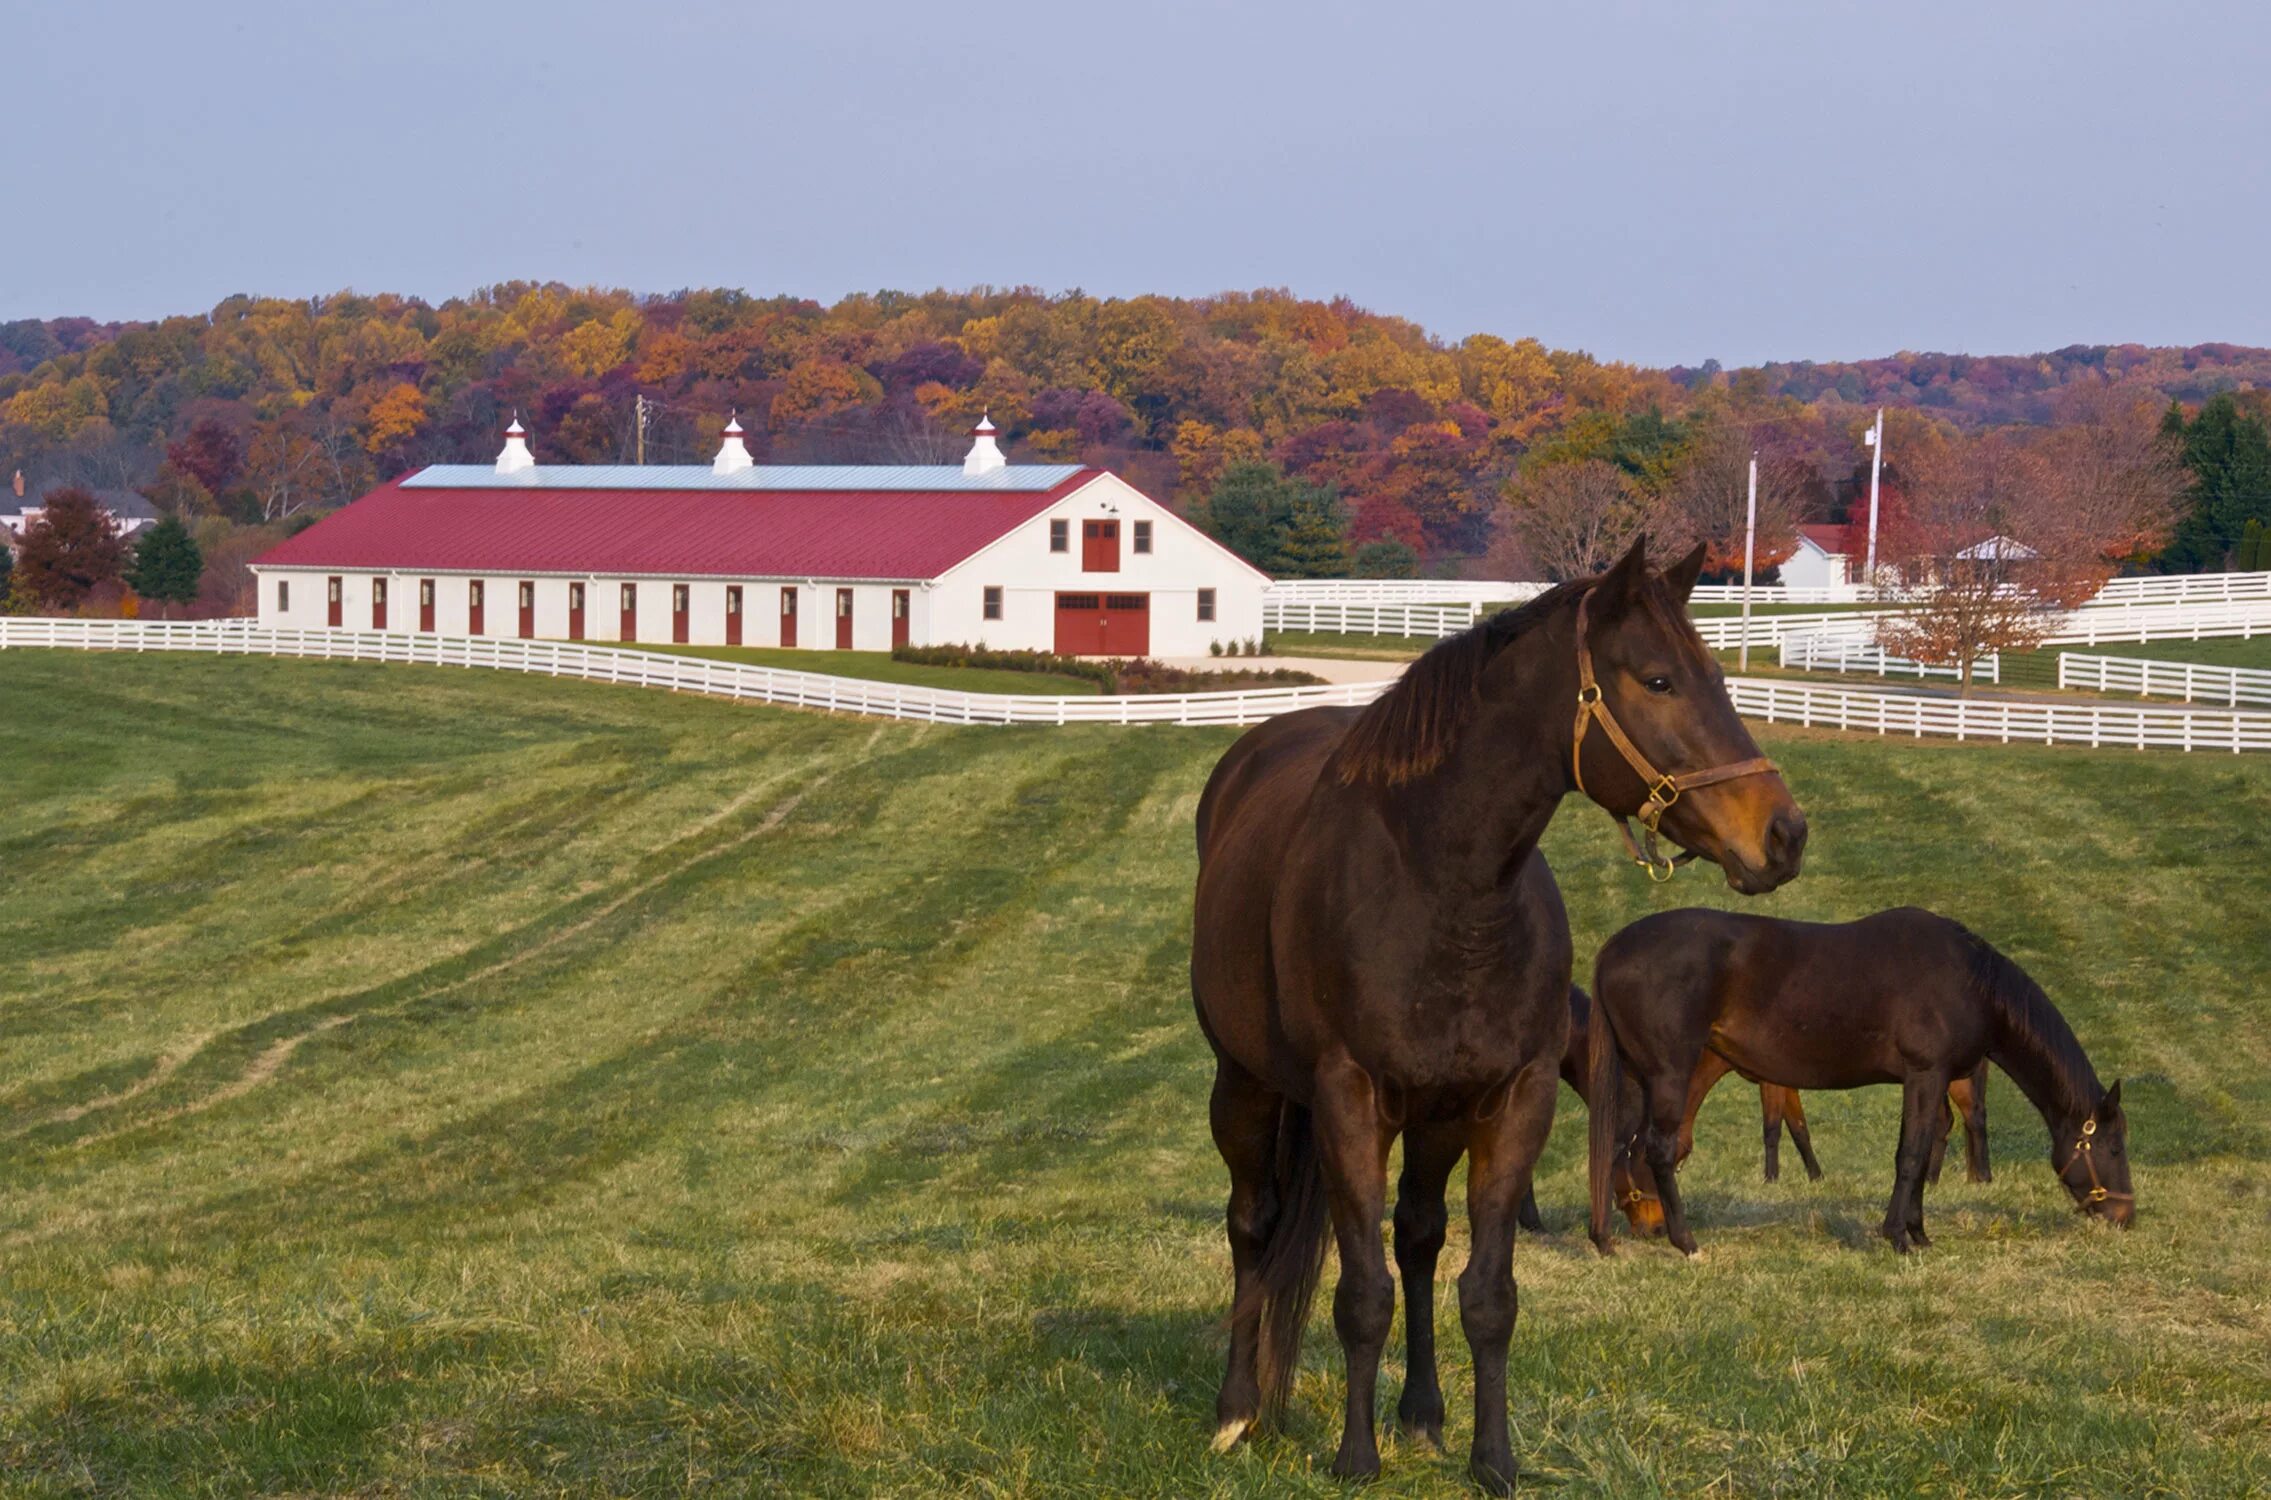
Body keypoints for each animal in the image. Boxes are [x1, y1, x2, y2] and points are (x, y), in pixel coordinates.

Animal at [1190, 537, 1807, 1488]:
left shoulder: (1508, 1101)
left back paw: (1420, 1413)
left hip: (1433, 1120)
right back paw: (1237, 1411)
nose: (1783, 834)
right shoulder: (1347, 1102)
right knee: (1252, 1223)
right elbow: (1359, 1294)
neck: (1440, 886)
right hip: (1247, 1088)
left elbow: (1485, 1295)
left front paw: (1492, 1460)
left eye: (1716, 675)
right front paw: (1355, 1460)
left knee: (1416, 1236)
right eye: (1657, 680)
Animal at [1580, 907, 2125, 1261]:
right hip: (1667, 1076)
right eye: (2114, 1148)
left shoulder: (1926, 1081)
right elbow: (1911, 1155)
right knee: (1655, 1150)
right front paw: (1898, 1237)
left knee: (1618, 1149)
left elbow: (1920, 1150)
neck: (1969, 979)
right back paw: (1686, 1242)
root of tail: (1612, 949)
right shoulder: (1927, 1074)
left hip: (1637, 1079)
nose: (2125, 1216)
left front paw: (1918, 1232)